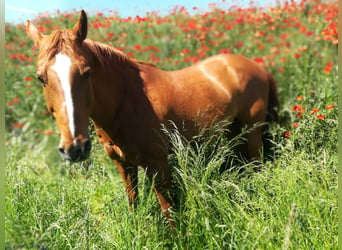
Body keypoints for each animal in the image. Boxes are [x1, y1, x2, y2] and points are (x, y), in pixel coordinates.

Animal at [26, 10, 278, 227]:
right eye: (41, 78)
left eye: (86, 72)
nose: (75, 148)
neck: (127, 101)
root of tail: (256, 67)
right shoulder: (124, 164)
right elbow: (133, 204)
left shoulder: (157, 163)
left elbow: (168, 211)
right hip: (233, 132)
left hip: (252, 133)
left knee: (256, 166)